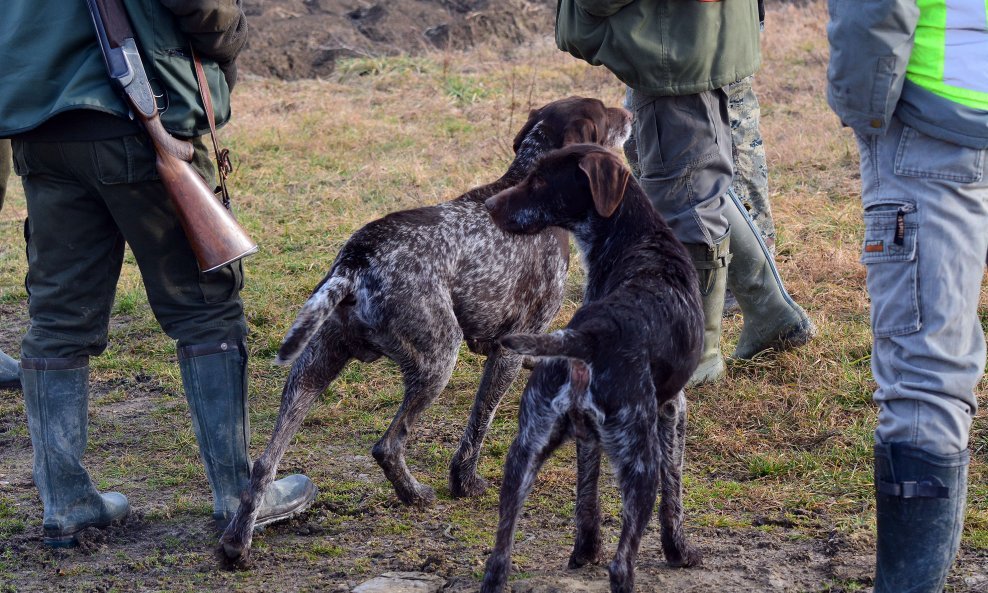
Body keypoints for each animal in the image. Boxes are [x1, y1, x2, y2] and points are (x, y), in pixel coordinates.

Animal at [219, 97, 628, 564]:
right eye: (605, 113)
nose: (630, 115)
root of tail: (357, 262)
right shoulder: (508, 349)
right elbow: (479, 425)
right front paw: (465, 485)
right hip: (438, 359)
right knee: (388, 445)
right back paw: (415, 495)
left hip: (313, 366)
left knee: (263, 464)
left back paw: (237, 541)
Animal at [482, 145, 708, 592]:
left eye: (539, 180)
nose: (490, 205)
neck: (638, 239)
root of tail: (587, 334)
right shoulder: (673, 409)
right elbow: (674, 494)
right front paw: (678, 551)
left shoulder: (585, 438)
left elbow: (586, 494)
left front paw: (585, 551)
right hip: (640, 465)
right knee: (623, 564)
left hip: (522, 455)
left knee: (498, 557)